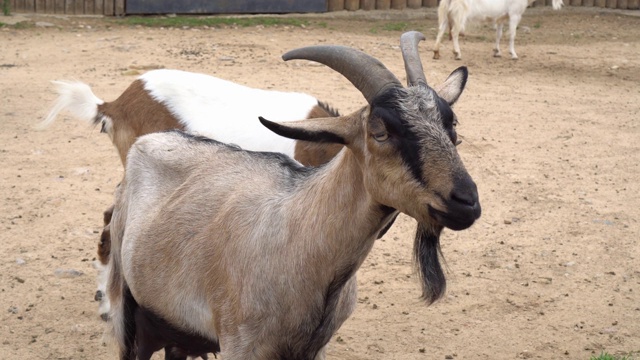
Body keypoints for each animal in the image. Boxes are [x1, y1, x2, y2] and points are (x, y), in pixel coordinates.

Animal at [107, 31, 482, 360]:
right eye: (380, 131)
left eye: (452, 128)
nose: (466, 202)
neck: (301, 234)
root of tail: (149, 141)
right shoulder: (239, 344)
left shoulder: (315, 349)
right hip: (130, 313)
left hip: (176, 330)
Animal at [432, 0, 564, 60]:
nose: (562, 4)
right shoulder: (514, 14)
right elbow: (512, 34)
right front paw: (513, 54)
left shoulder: (501, 17)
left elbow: (498, 34)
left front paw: (497, 52)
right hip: (459, 14)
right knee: (454, 32)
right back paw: (457, 53)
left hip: (446, 14)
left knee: (440, 30)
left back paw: (436, 53)